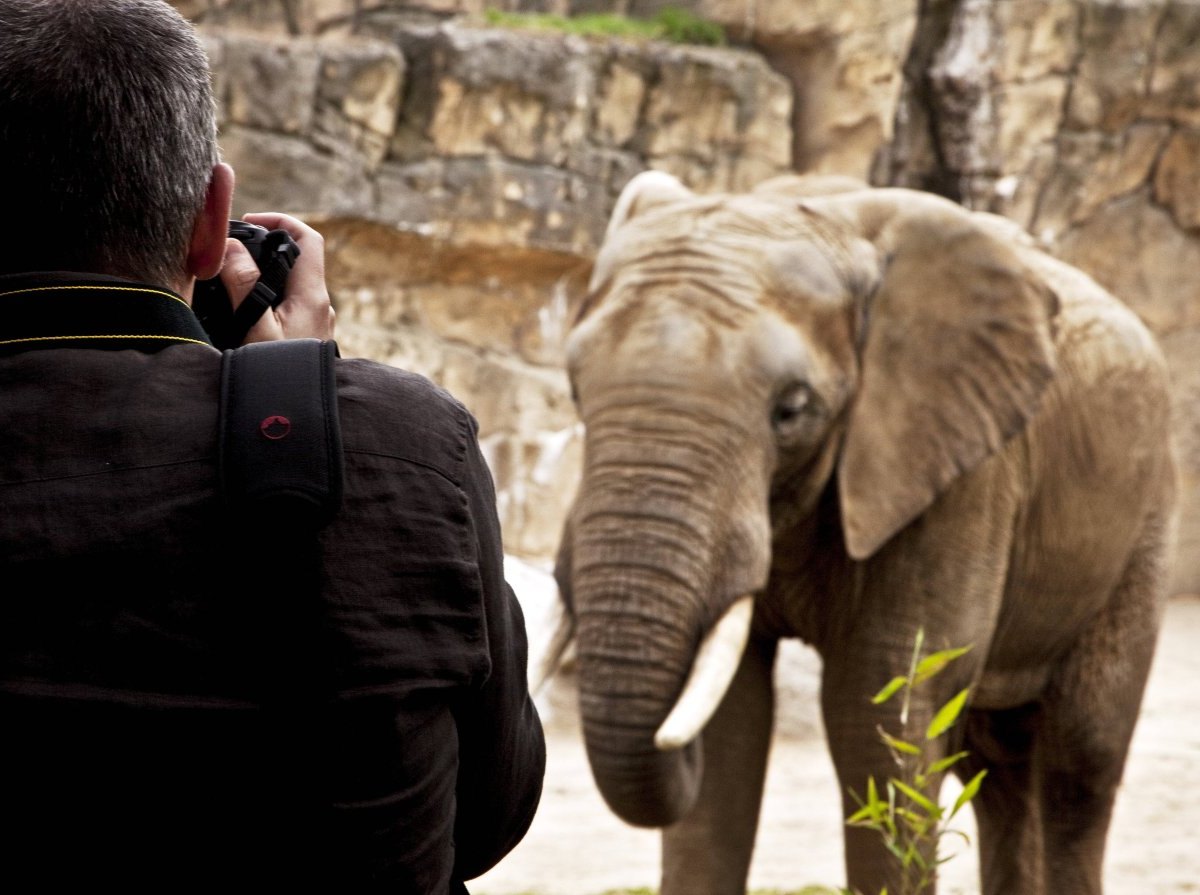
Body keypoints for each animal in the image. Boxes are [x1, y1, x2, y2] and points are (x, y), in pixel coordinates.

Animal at [547, 169, 1180, 892]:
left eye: (792, 410)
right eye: (574, 389)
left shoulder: (960, 468)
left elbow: (878, 705)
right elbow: (732, 719)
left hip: (1146, 512)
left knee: (1081, 763)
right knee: (994, 767)